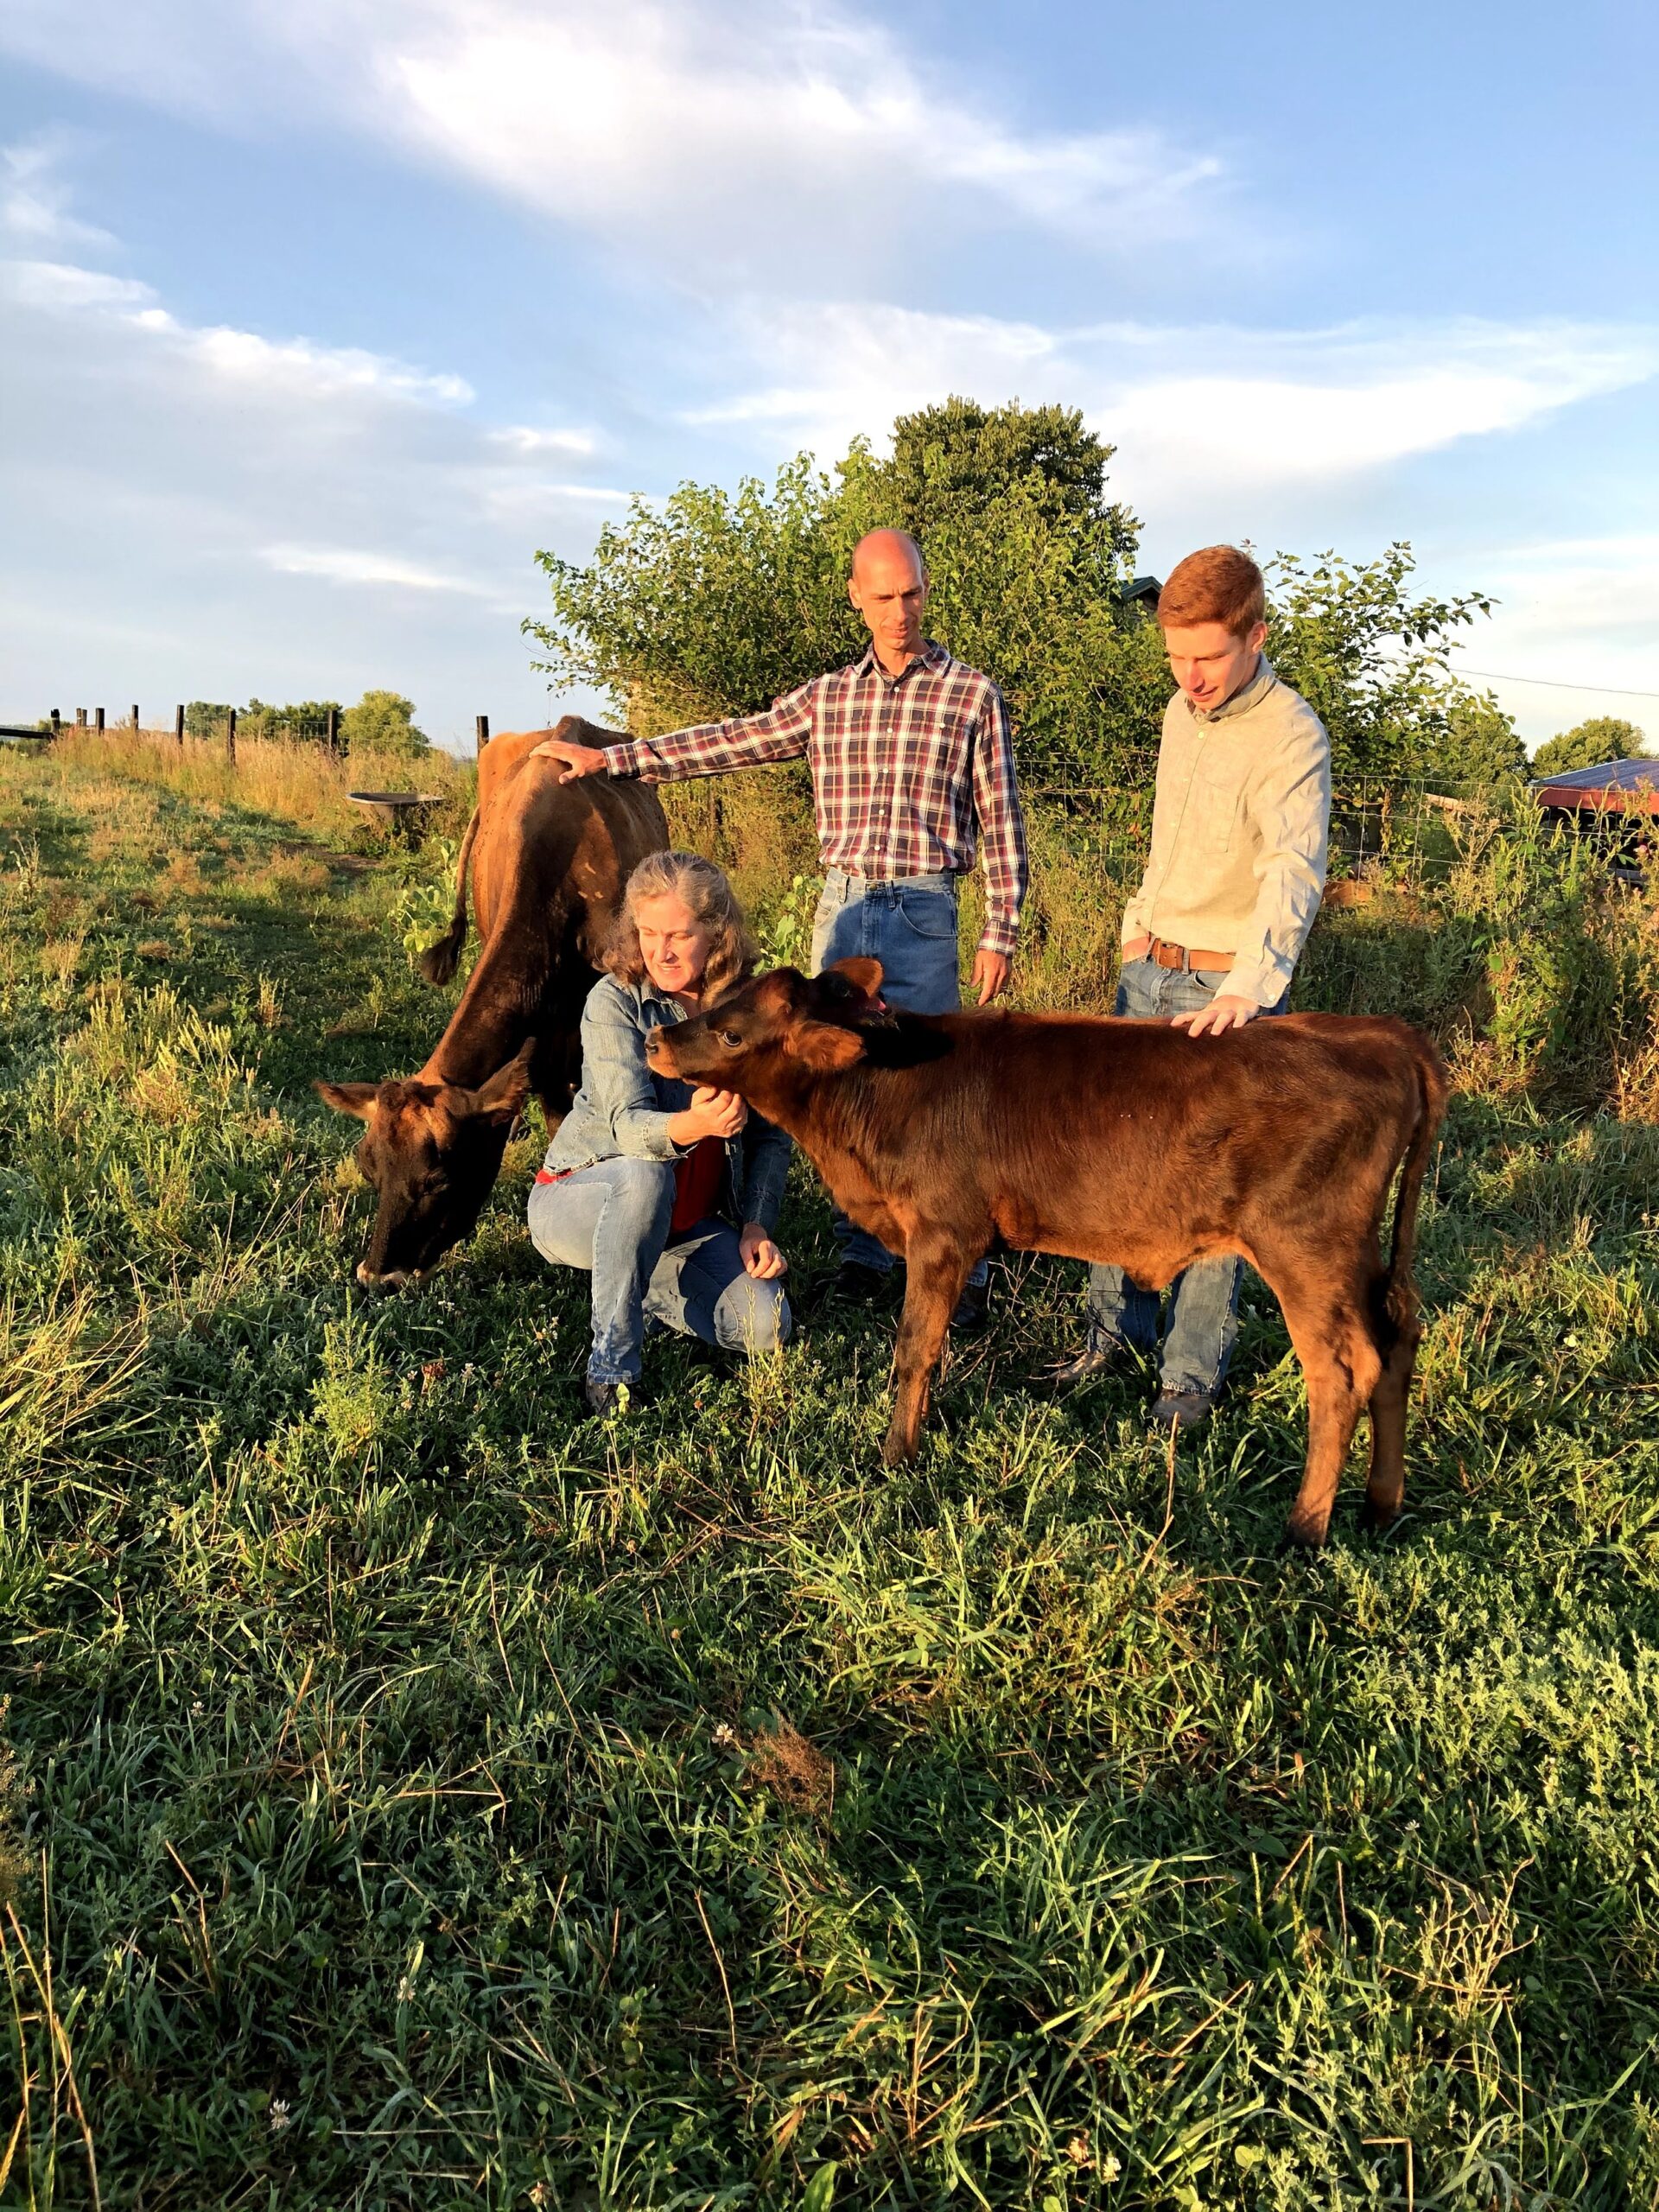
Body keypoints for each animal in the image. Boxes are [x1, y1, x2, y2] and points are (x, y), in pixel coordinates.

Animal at [649, 959, 1450, 1548]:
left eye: (730, 1033)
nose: (659, 1040)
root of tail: (1384, 1036)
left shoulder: (941, 1232)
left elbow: (914, 1349)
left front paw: (895, 1456)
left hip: (1304, 1247)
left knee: (1343, 1370)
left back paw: (1305, 1529)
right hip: (1358, 1252)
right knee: (1398, 1340)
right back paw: (1380, 1507)